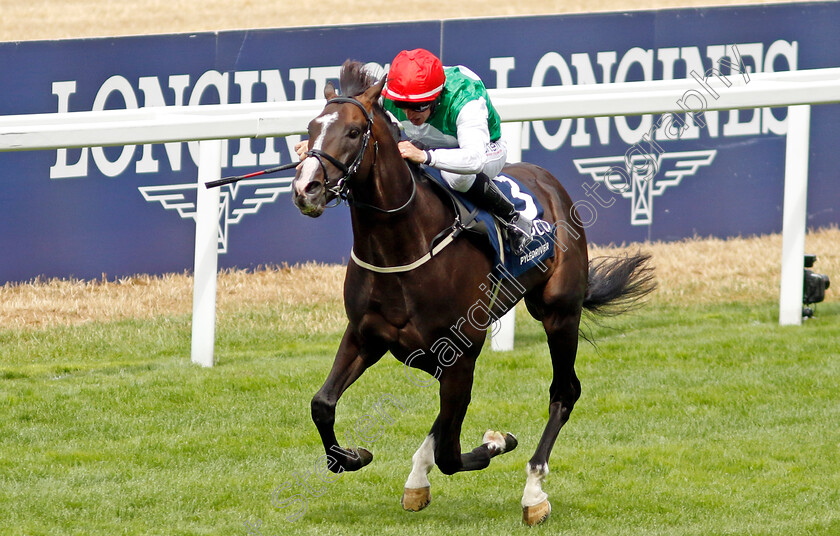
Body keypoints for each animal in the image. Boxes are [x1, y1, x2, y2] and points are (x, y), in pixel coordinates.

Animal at [290, 61, 656, 524]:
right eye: (310, 128)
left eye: (354, 132)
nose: (306, 188)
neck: (403, 245)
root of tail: (549, 181)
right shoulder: (367, 336)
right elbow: (322, 403)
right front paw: (354, 456)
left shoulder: (461, 351)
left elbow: (451, 453)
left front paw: (498, 443)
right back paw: (420, 475)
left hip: (559, 313)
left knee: (564, 392)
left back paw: (534, 491)